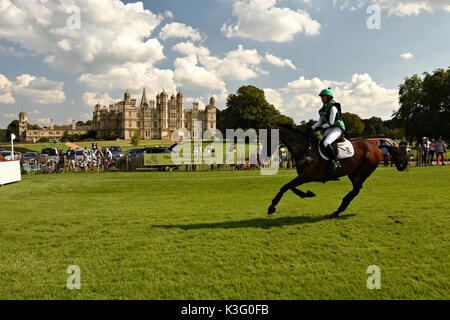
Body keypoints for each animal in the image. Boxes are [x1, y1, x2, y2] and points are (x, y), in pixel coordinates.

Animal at [268, 124, 408, 219]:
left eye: (268, 135)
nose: (266, 153)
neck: (305, 149)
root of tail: (376, 145)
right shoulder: (303, 176)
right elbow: (290, 187)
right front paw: (308, 193)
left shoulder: (306, 176)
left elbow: (285, 187)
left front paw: (272, 207)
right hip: (353, 173)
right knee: (356, 189)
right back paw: (339, 210)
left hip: (362, 173)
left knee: (356, 190)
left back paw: (338, 210)